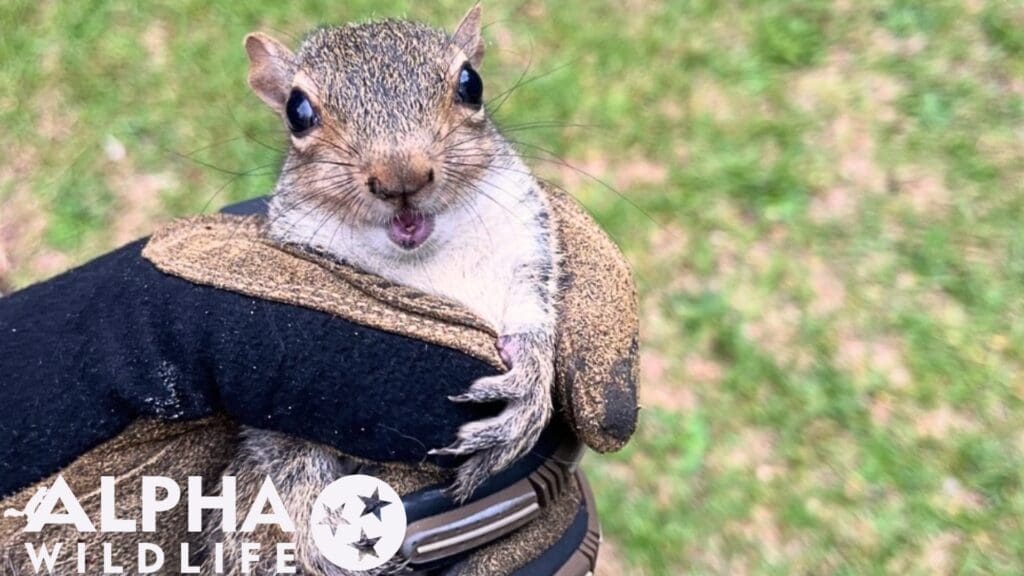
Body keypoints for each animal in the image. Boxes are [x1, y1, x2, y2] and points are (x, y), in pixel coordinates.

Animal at [210, 7, 561, 573]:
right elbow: (282, 453)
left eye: (471, 83)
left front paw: (527, 388)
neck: (422, 257)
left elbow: (533, 318)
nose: (401, 175)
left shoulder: (525, 245)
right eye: (297, 111)